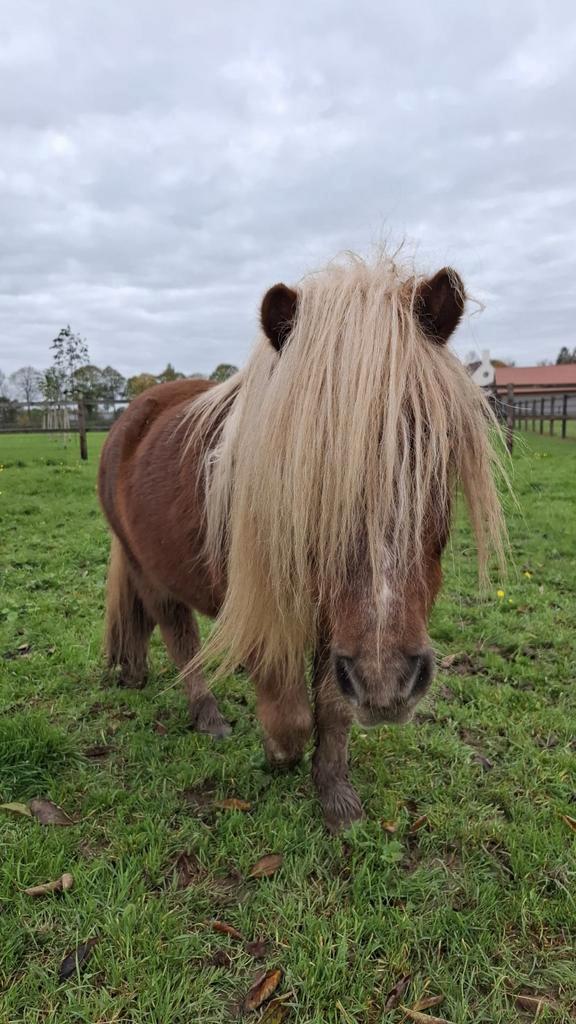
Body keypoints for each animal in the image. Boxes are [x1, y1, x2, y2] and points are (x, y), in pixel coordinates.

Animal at [98, 251, 504, 831]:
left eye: (435, 446)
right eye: (302, 471)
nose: (390, 684)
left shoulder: (341, 633)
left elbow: (333, 705)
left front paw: (335, 795)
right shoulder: (264, 612)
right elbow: (289, 715)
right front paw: (276, 754)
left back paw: (135, 671)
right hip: (149, 569)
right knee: (180, 638)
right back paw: (207, 716)